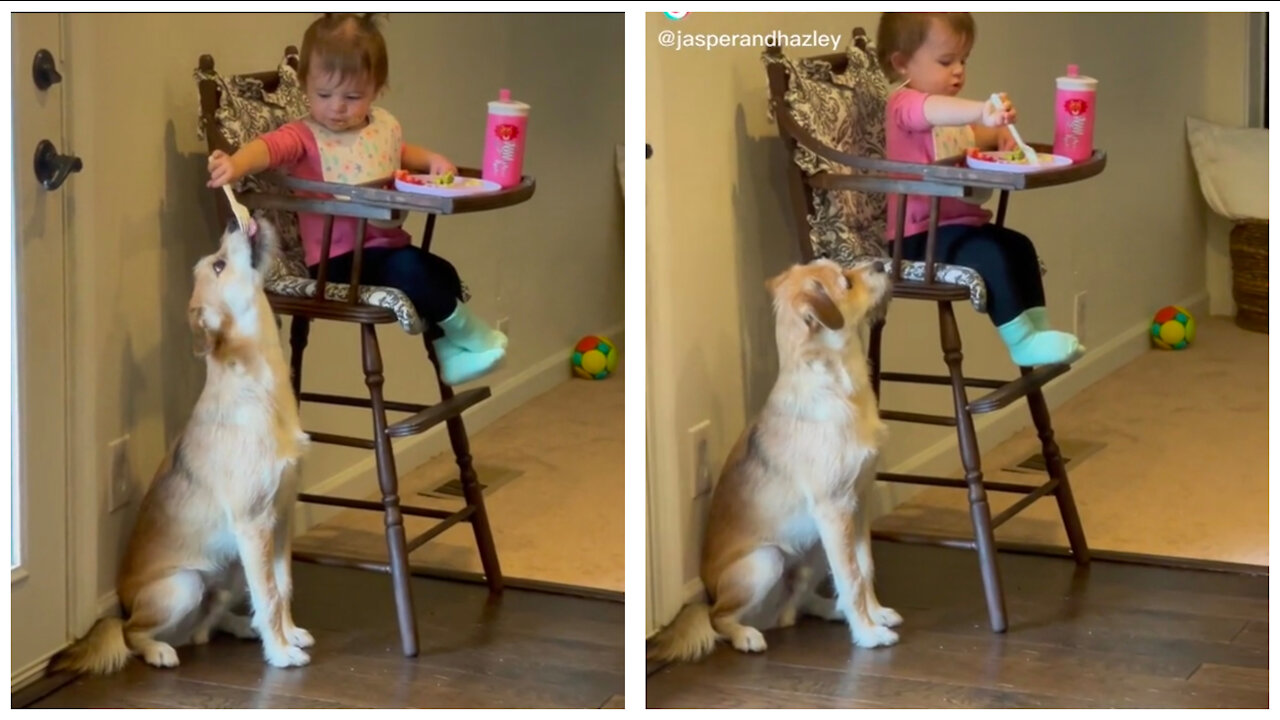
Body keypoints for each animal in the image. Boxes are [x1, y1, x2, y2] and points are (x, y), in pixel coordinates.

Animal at [54, 213, 314, 671]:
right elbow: (268, 595)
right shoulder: (255, 524)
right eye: (218, 266)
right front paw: (281, 653)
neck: (259, 387)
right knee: (132, 633)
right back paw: (160, 650)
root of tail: (122, 605)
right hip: (186, 583)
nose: (232, 220)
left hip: (228, 568)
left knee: (207, 626)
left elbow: (282, 588)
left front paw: (288, 634)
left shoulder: (281, 519)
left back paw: (238, 626)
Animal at [645, 256, 896, 661]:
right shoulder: (835, 508)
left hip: (812, 547)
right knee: (719, 618)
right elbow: (851, 576)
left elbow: (865, 566)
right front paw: (867, 634)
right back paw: (747, 635)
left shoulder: (858, 503)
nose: (880, 261)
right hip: (767, 560)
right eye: (846, 281)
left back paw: (830, 609)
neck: (838, 385)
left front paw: (874, 615)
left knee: (800, 604)